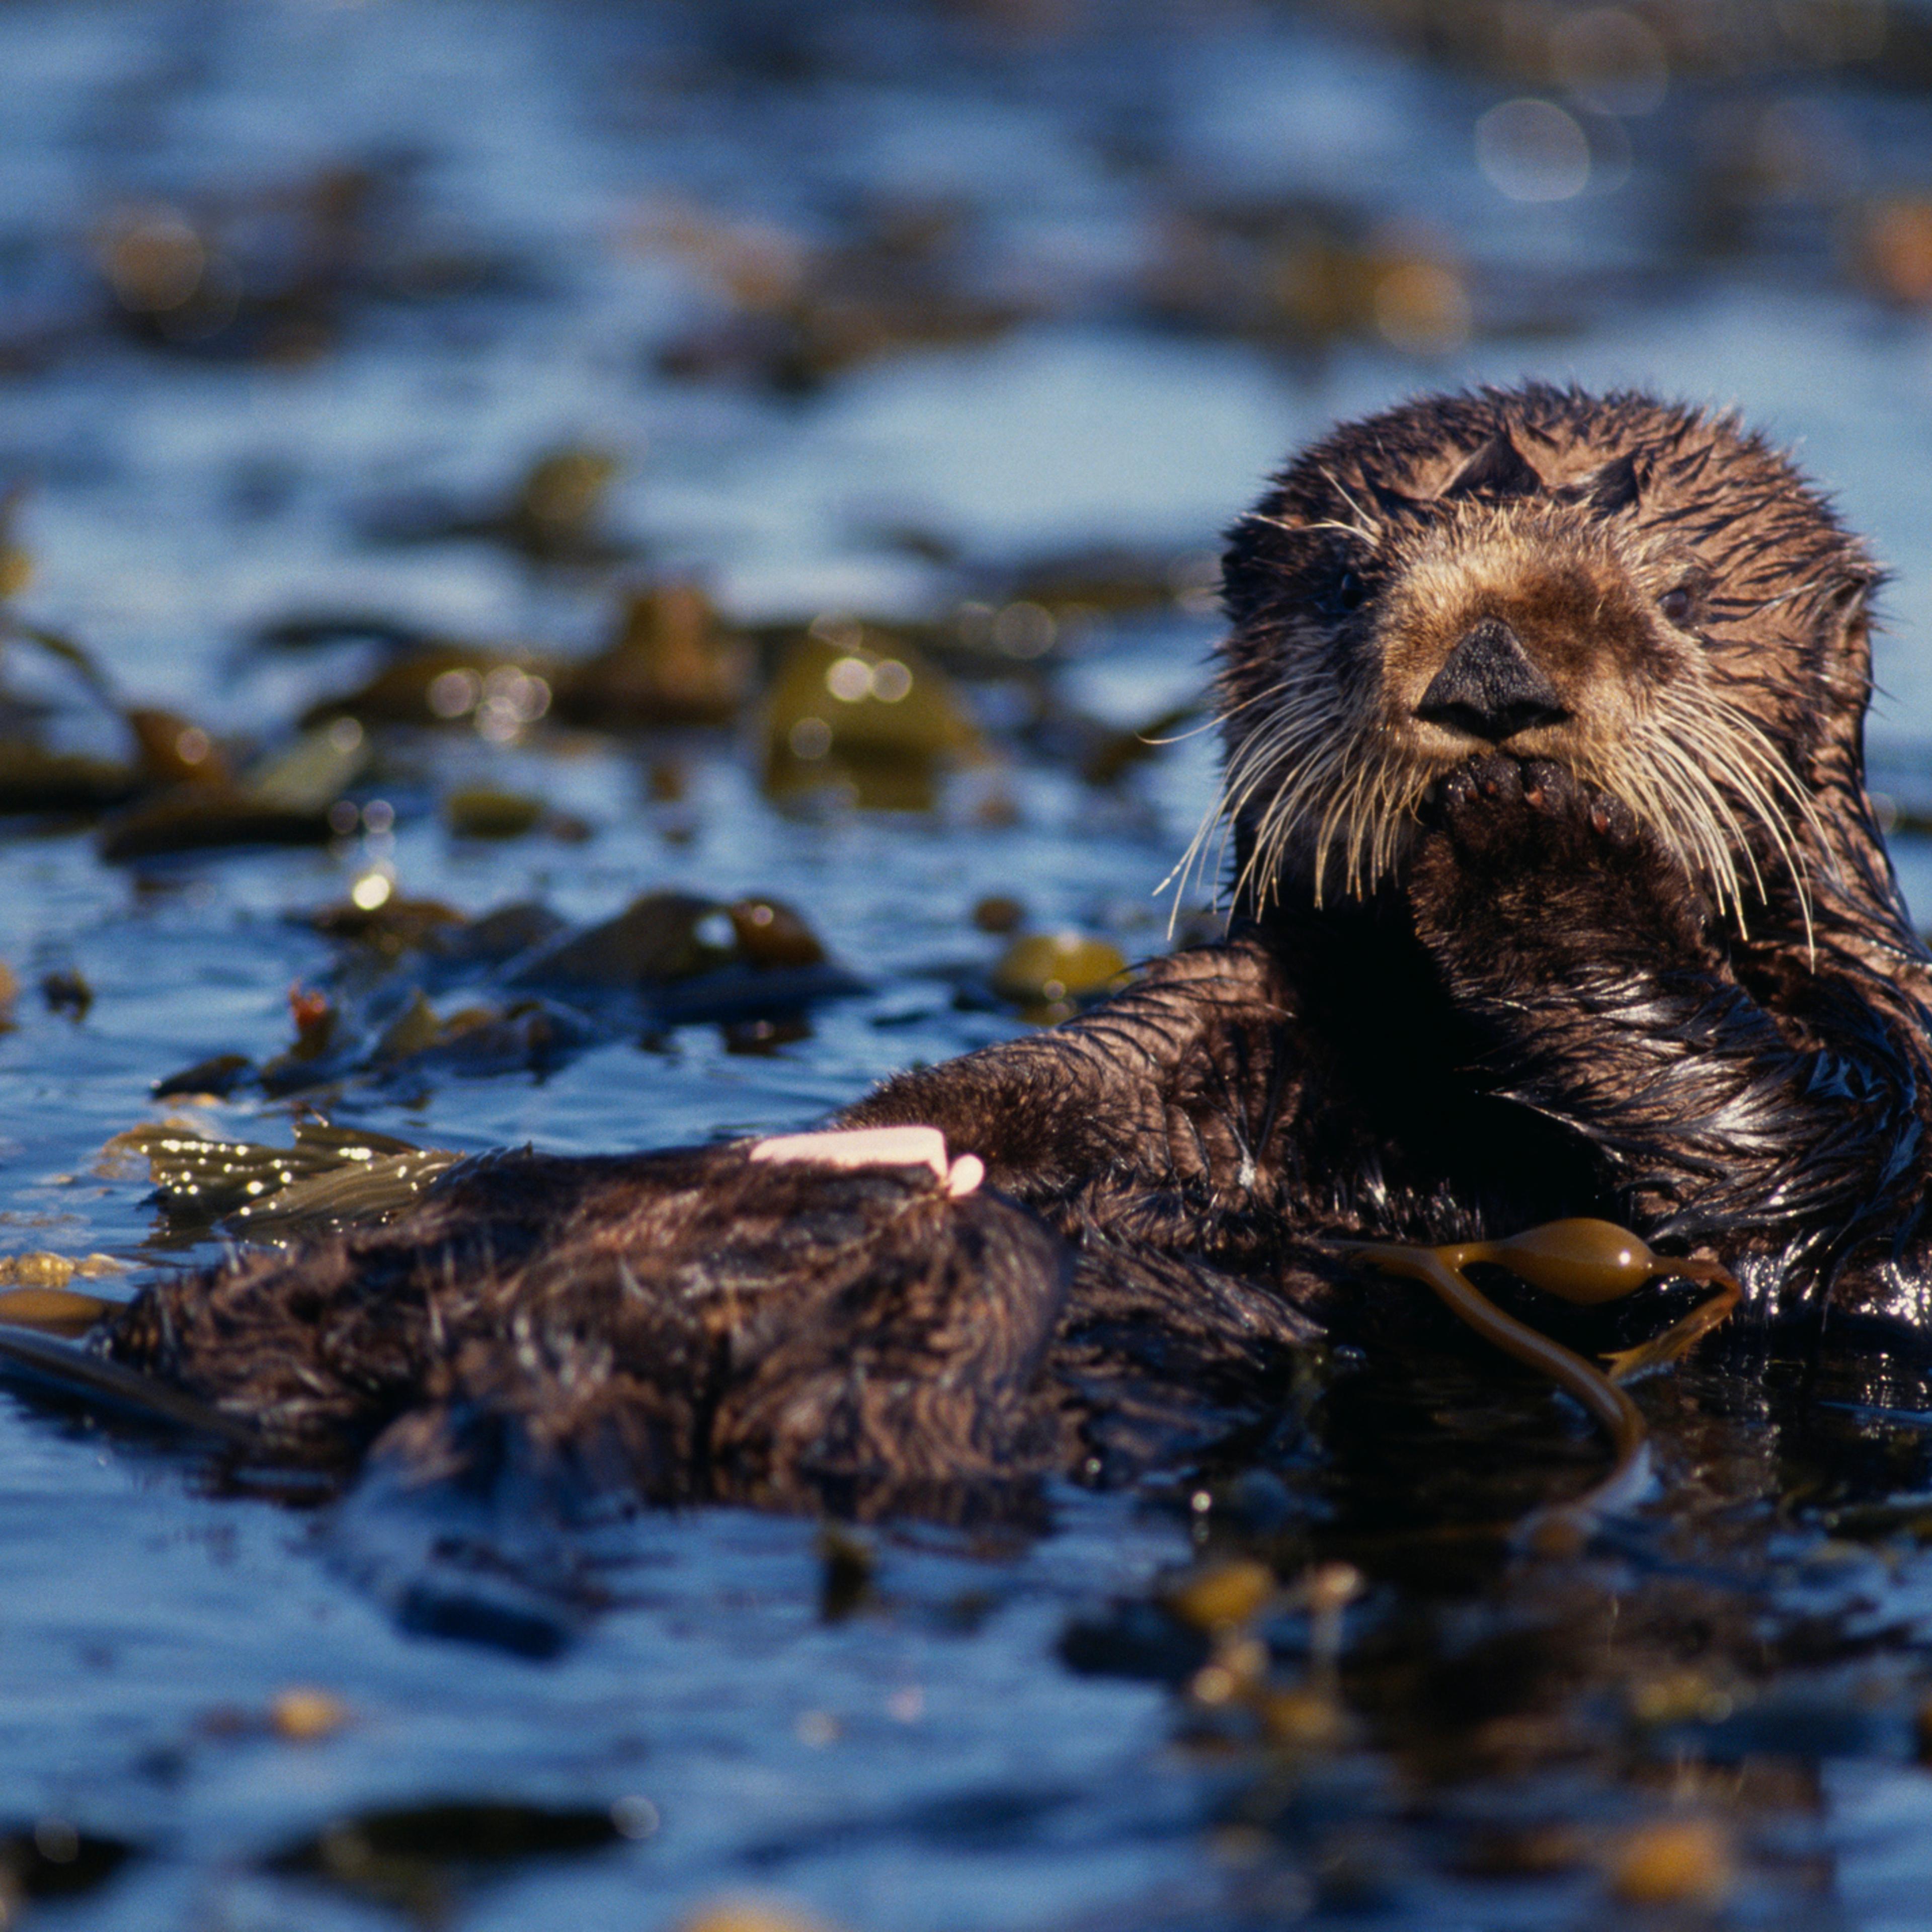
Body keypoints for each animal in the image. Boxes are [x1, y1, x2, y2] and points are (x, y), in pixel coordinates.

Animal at [96, 382, 1932, 1516]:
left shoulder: (1870, 1086)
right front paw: (875, 1140)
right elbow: (1058, 1086)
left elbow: (1781, 1165)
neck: (1448, 1088)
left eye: (1676, 598)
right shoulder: (1223, 1030)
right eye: (1351, 587)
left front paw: (1531, 853)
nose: (1490, 686)